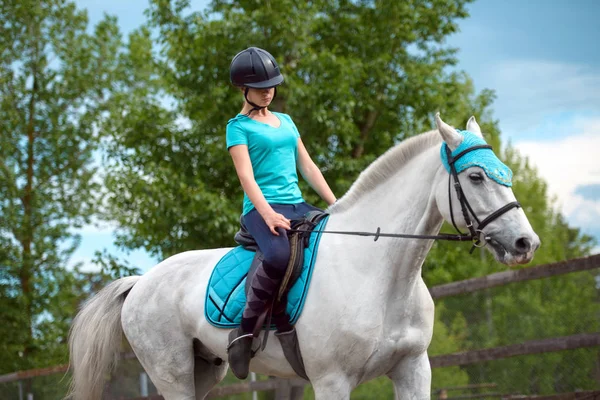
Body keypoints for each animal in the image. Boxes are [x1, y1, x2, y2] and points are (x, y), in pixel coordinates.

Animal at [69, 114, 540, 398]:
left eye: (505, 174)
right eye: (475, 176)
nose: (526, 244)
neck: (382, 274)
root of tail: (141, 282)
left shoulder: (413, 370)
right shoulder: (333, 381)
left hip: (206, 370)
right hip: (173, 374)